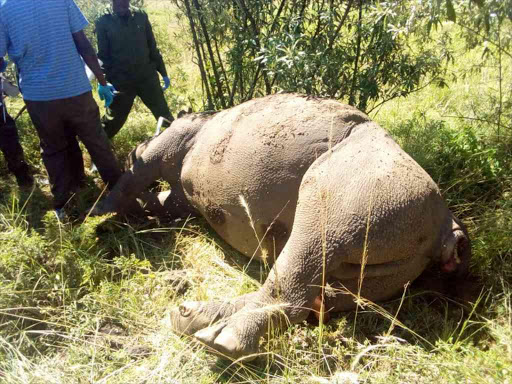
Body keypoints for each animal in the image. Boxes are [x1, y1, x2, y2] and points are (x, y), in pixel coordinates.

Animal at [95, 93, 468, 360]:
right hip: (394, 242)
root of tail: (445, 225)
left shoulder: (169, 143)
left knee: (306, 251)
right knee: (323, 288)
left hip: (363, 191)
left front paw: (96, 217)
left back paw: (219, 341)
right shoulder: (181, 197)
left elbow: (130, 180)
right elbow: (158, 200)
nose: (133, 148)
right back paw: (191, 318)